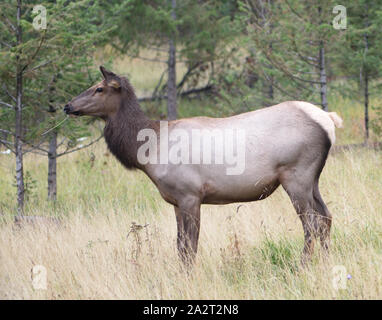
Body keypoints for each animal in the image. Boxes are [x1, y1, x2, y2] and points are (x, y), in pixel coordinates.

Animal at [65, 67, 344, 264]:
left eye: (99, 88)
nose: (67, 106)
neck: (149, 150)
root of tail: (329, 120)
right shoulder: (176, 201)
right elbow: (180, 246)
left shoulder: (190, 194)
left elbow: (190, 247)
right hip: (312, 179)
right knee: (326, 217)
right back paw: (326, 261)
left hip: (296, 174)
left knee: (312, 224)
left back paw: (303, 264)